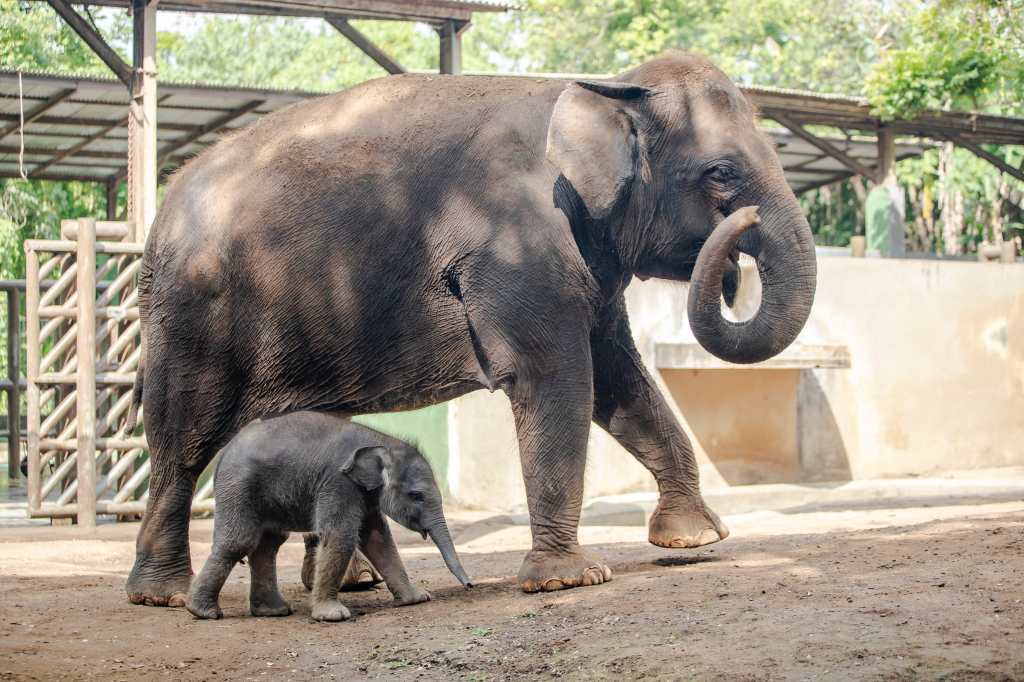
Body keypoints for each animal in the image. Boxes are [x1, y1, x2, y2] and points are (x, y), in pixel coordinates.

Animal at [187, 409, 471, 622]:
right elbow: (340, 536)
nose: (469, 586)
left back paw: (273, 611)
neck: (380, 440)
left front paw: (417, 598)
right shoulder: (338, 482)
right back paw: (203, 612)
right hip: (239, 487)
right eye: (416, 495)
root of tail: (224, 453)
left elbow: (378, 539)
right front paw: (333, 616)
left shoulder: (365, 492)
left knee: (268, 545)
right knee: (240, 541)